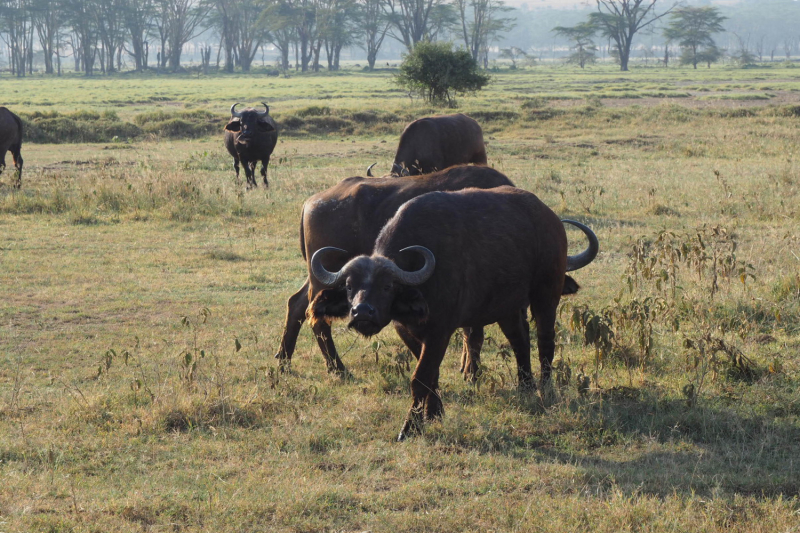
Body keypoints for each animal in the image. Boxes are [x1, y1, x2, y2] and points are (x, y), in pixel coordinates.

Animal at [274, 165, 512, 374]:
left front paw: (466, 366)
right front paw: (471, 370)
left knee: (296, 305)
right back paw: (338, 369)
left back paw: (284, 362)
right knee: (317, 318)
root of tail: (312, 202)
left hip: (321, 274)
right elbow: (473, 333)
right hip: (326, 276)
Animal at [310, 185, 596, 438]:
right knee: (520, 341)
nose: (362, 313)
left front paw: (410, 428)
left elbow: (420, 378)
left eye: (387, 286)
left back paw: (544, 390)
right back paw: (525, 386)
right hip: (507, 307)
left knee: (545, 342)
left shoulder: (440, 331)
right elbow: (431, 375)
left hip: (545, 295)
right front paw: (434, 413)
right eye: (349, 286)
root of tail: (551, 220)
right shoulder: (407, 330)